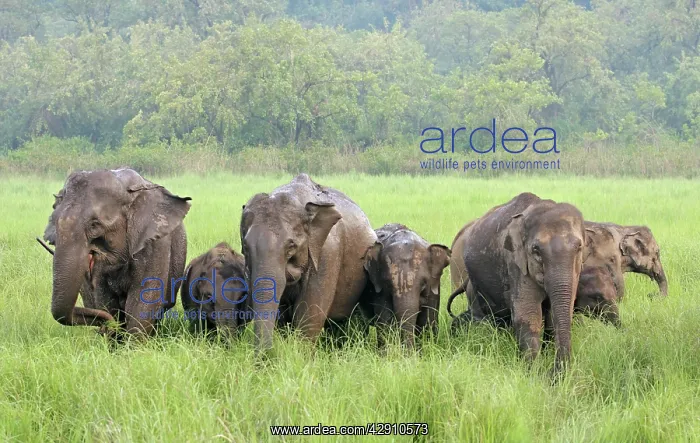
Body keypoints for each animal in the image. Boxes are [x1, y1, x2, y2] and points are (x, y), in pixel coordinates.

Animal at [42, 168, 191, 337]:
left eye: (94, 225)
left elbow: (143, 301)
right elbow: (105, 300)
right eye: (53, 219)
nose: (109, 327)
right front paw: (114, 337)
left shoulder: (155, 243)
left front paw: (133, 343)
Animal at [240, 173, 376, 351]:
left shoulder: (328, 251)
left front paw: (299, 354)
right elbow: (282, 315)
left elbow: (309, 314)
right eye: (245, 246)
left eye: (291, 246)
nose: (266, 355)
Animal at [448, 192, 587, 372]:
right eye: (536, 250)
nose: (553, 372)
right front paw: (533, 371)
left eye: (579, 247)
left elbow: (556, 314)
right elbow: (528, 315)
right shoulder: (516, 263)